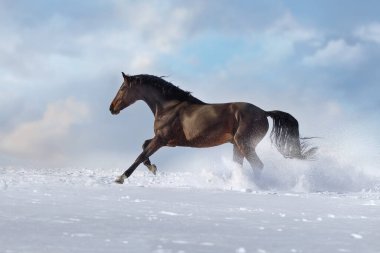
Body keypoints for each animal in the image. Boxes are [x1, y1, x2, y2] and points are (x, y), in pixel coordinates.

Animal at [108, 72, 316, 184]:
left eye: (122, 89)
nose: (111, 108)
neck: (168, 107)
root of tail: (264, 113)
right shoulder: (164, 140)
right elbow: (143, 146)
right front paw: (153, 168)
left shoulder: (162, 139)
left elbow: (140, 155)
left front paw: (121, 178)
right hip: (237, 145)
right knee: (241, 165)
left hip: (244, 143)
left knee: (258, 165)